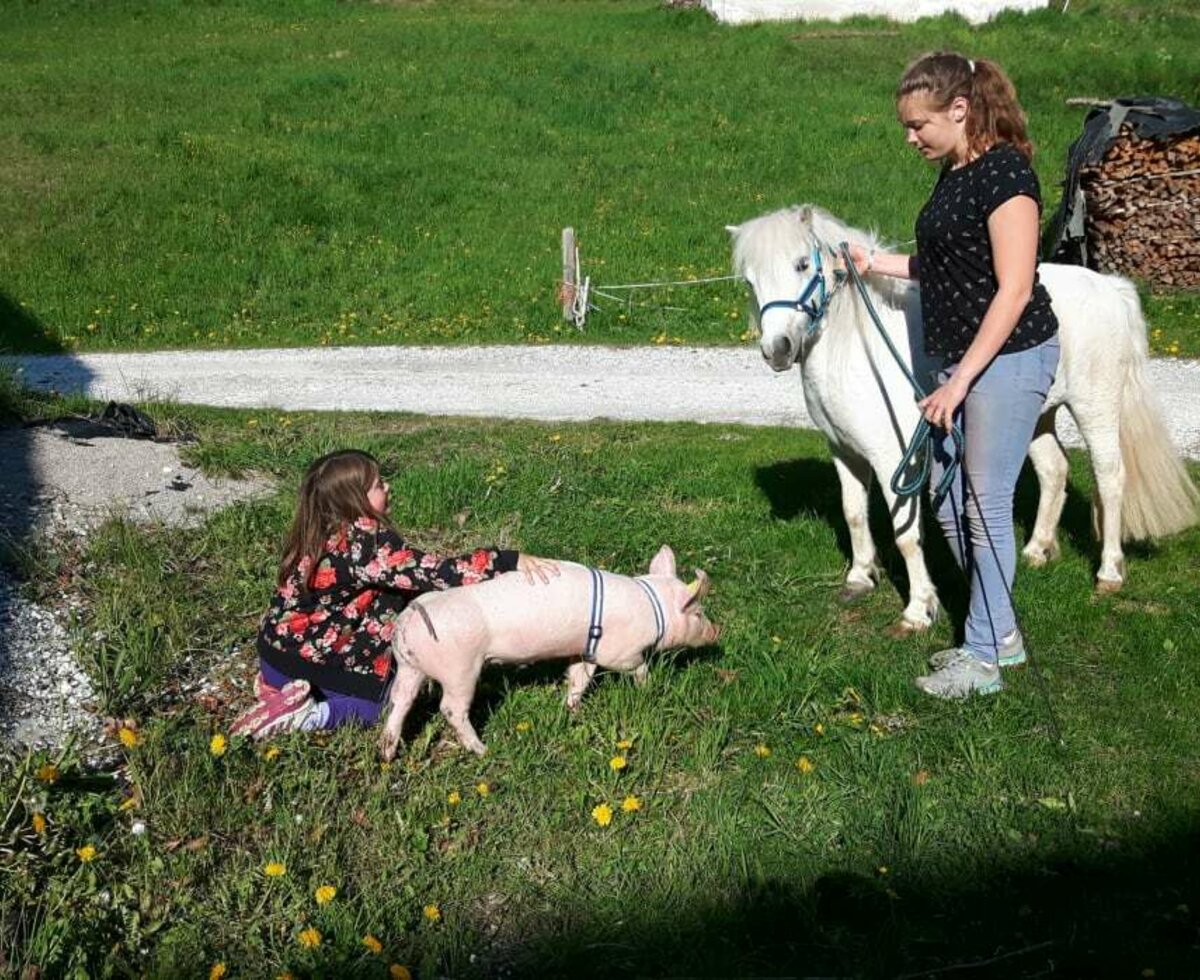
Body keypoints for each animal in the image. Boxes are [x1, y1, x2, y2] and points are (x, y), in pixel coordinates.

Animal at [376, 546, 710, 762]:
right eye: (698, 613)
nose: (716, 630)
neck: (653, 607)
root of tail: (411, 616)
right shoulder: (618, 652)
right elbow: (636, 666)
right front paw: (647, 686)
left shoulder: (585, 652)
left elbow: (579, 679)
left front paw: (572, 709)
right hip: (460, 669)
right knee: (450, 708)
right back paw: (484, 750)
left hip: (409, 666)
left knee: (401, 700)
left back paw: (387, 753)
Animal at [724, 203, 1195, 628]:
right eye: (749, 280)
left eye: (802, 264)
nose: (777, 349)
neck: (858, 346)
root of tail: (1111, 288)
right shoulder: (845, 452)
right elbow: (854, 513)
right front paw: (860, 577)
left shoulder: (894, 460)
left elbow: (906, 534)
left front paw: (919, 610)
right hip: (1034, 417)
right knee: (1054, 471)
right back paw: (1036, 551)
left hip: (1095, 407)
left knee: (1110, 478)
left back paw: (1109, 572)